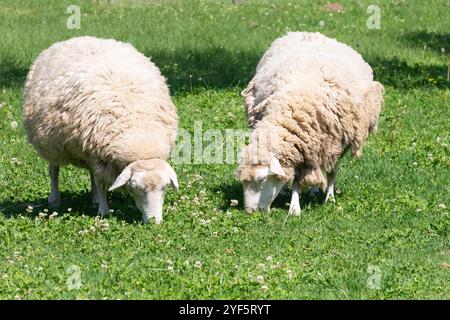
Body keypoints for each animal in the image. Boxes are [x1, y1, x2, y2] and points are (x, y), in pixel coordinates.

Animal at [22, 36, 178, 224]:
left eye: (165, 188)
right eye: (135, 187)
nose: (154, 222)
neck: (140, 135)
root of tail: (76, 38)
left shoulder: (97, 153)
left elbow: (98, 181)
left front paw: (99, 203)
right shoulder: (98, 154)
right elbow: (101, 183)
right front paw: (104, 211)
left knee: (90, 173)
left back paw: (94, 199)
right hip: (52, 144)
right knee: (54, 170)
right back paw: (54, 199)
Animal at [237, 31, 382, 215]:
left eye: (262, 179)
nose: (249, 212)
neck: (292, 110)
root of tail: (310, 33)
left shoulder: (332, 144)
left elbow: (325, 173)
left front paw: (305, 205)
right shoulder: (301, 147)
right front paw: (293, 199)